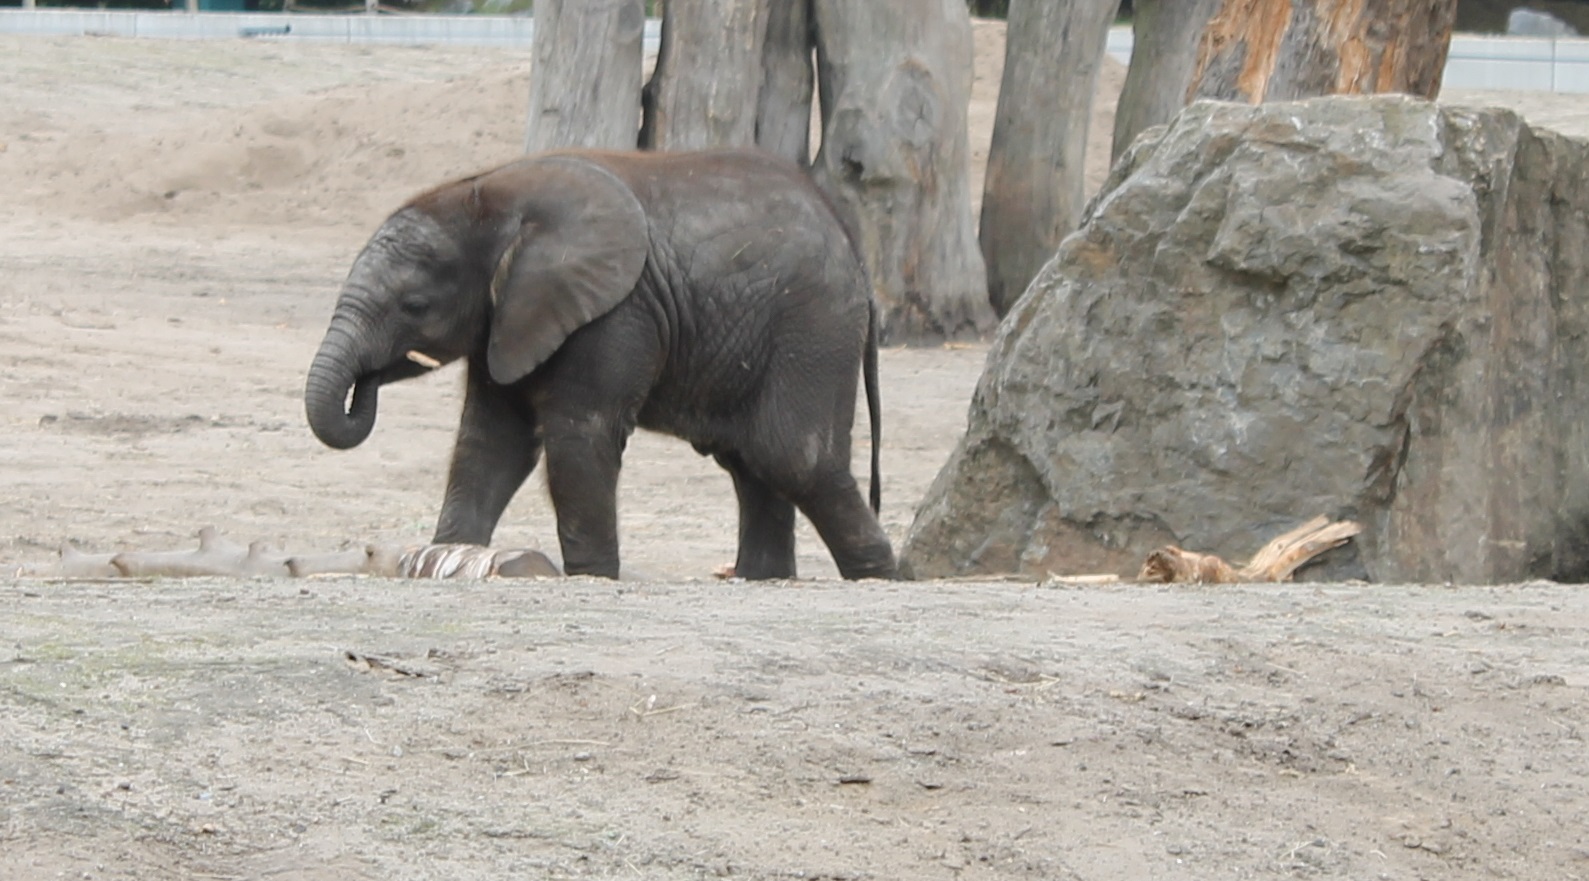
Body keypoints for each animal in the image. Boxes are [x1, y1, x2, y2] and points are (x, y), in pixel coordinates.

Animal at [303, 148, 897, 581]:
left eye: (414, 306)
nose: (369, 380)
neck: (493, 193)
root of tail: (857, 256)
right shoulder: (510, 318)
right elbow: (489, 441)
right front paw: (449, 554)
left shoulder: (615, 311)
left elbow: (578, 435)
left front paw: (592, 576)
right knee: (752, 462)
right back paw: (765, 579)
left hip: (814, 325)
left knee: (791, 456)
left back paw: (880, 576)